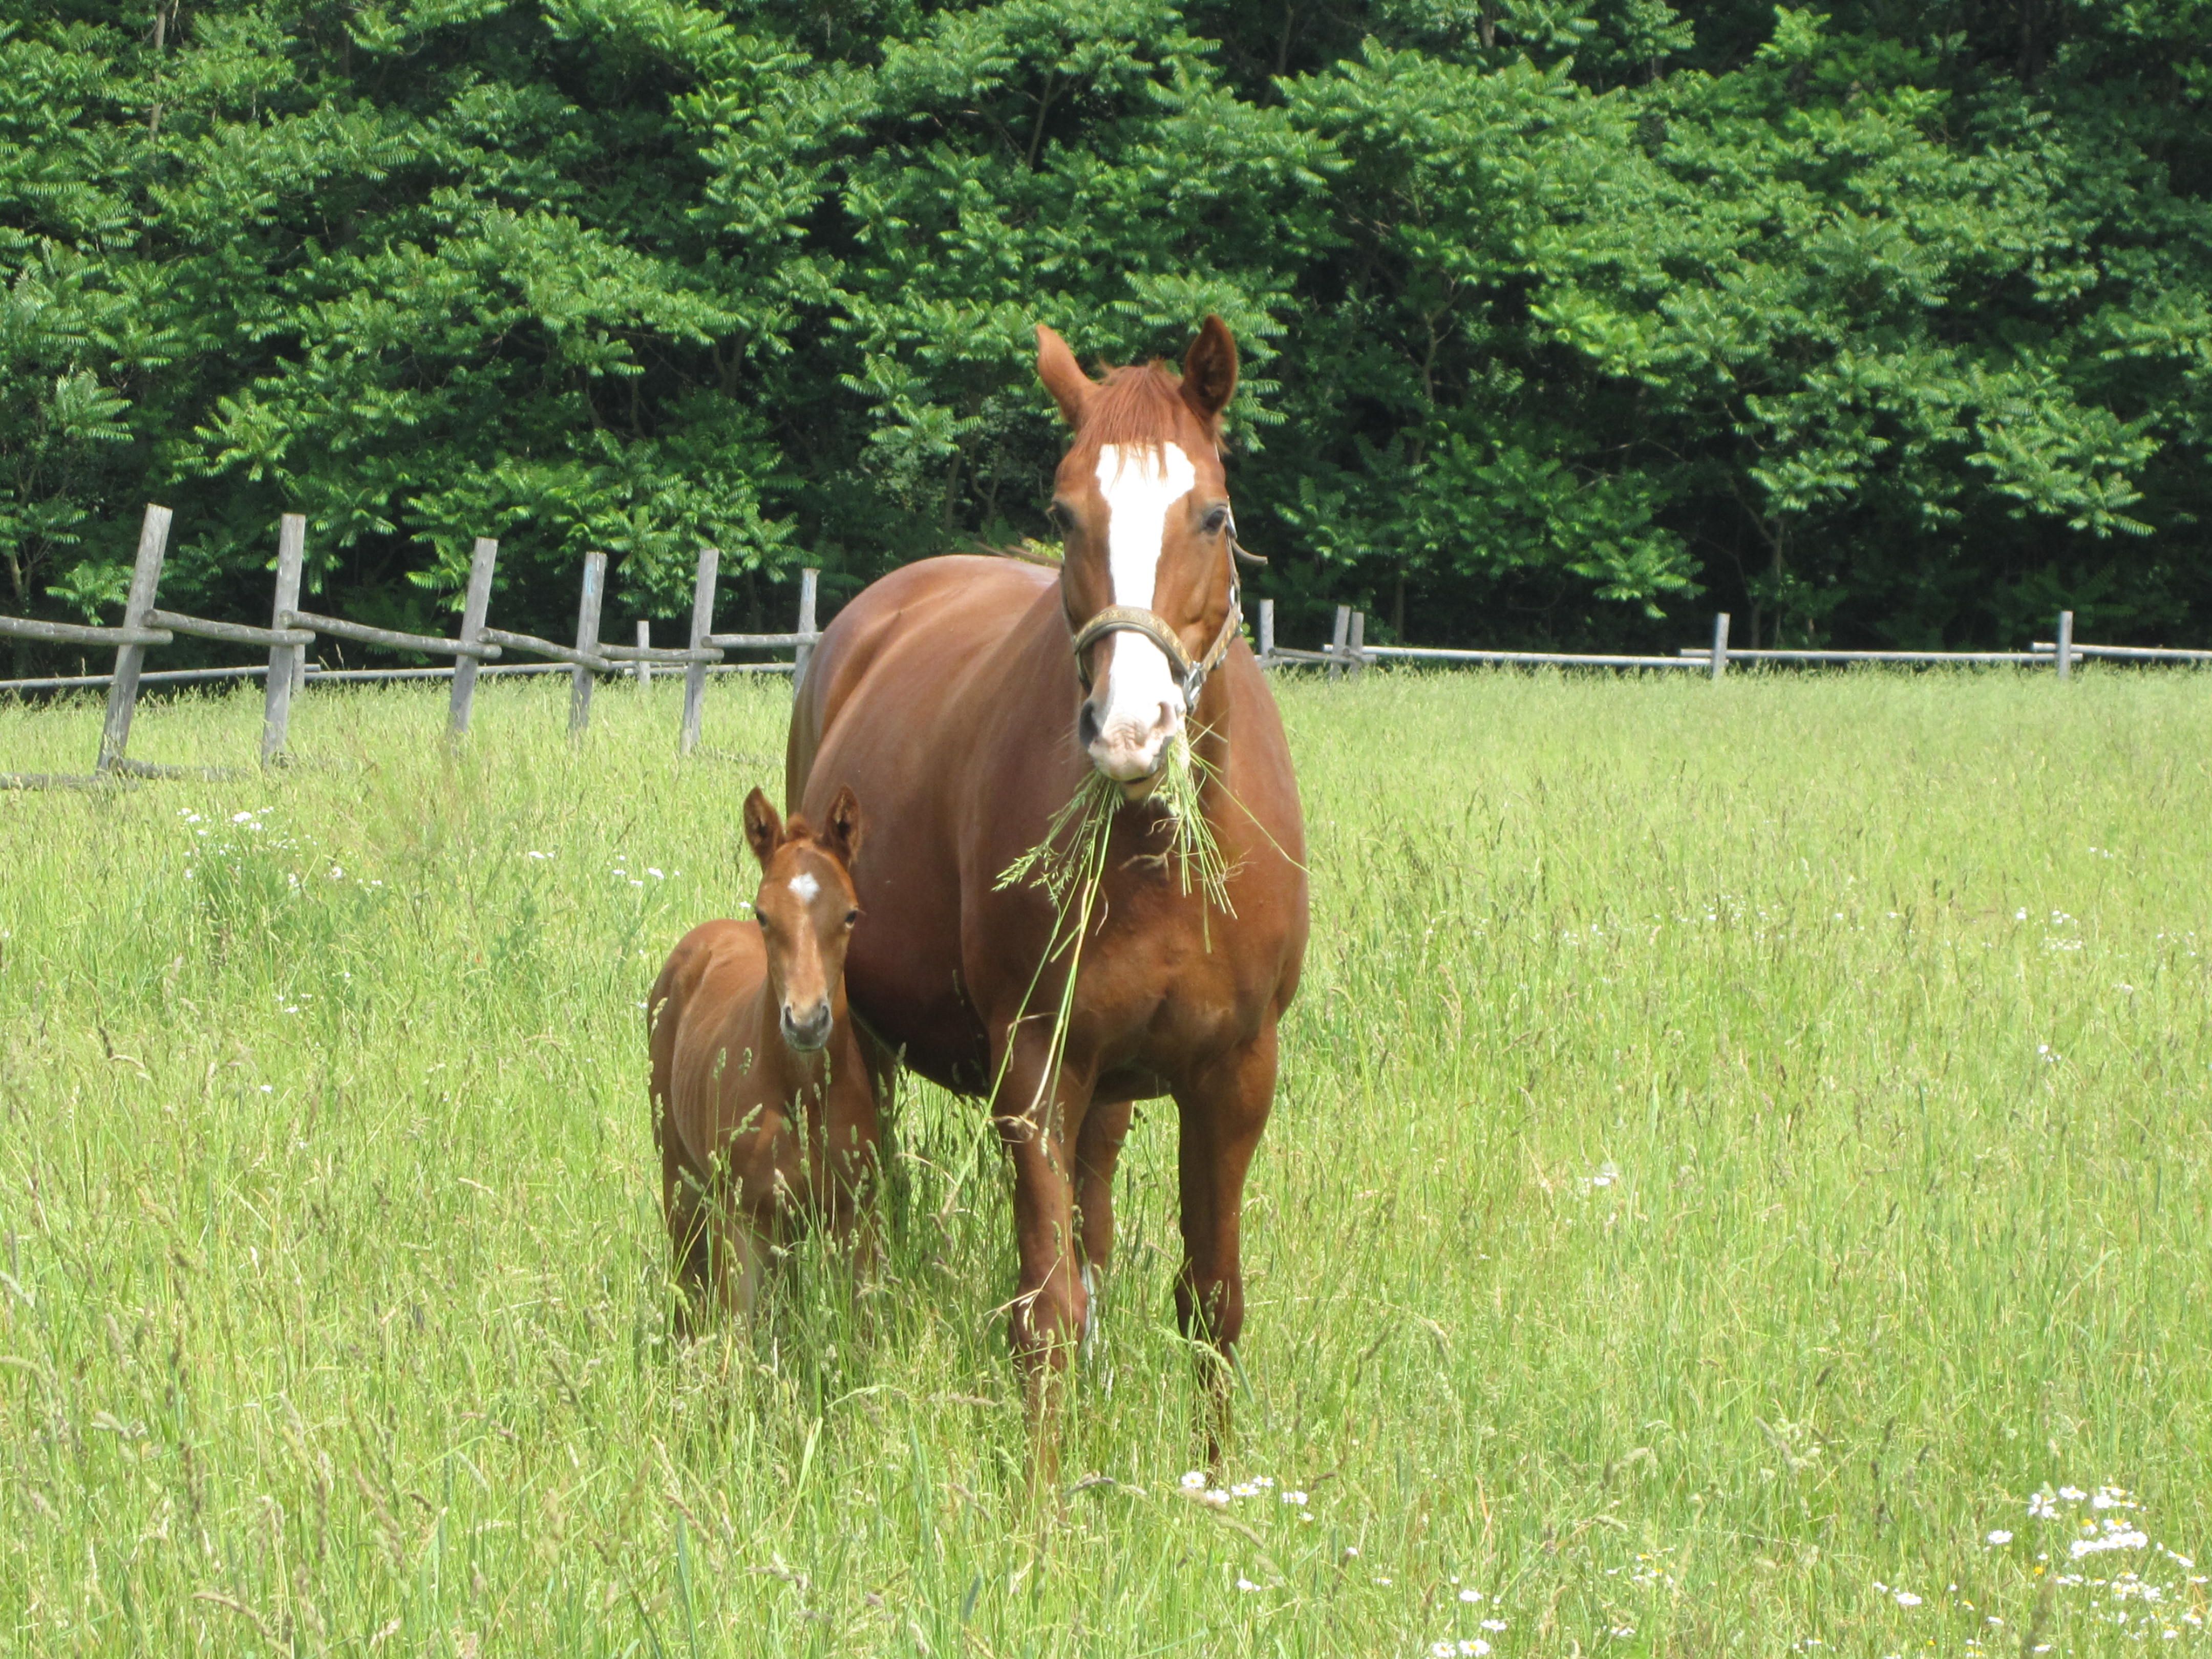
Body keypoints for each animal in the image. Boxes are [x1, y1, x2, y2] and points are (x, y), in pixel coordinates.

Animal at [648, 785, 884, 1316]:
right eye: (763, 914)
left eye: (851, 913)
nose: (807, 1020)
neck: (802, 1094)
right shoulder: (739, 1217)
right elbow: (737, 1328)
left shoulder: (854, 1214)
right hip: (679, 1175)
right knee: (685, 1272)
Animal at [786, 317, 1308, 1444]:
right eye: (1067, 514)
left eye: (1213, 515)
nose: (1131, 733)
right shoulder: (1034, 1065)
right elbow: (1047, 1310)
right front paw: (1046, 1483)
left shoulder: (1237, 1073)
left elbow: (1213, 1302)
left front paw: (1214, 1474)